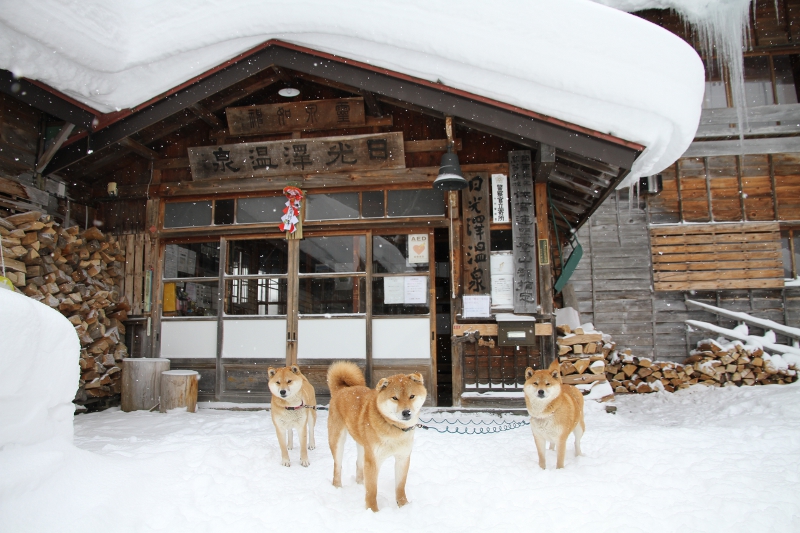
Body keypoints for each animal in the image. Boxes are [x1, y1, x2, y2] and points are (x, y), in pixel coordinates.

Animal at [324, 362, 424, 512]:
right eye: (395, 398)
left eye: (412, 396)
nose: (406, 412)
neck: (394, 427)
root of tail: (341, 389)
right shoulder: (373, 461)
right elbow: (372, 491)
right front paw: (373, 511)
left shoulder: (403, 458)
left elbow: (400, 486)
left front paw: (404, 506)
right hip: (338, 441)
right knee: (337, 467)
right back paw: (337, 487)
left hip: (362, 445)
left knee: (359, 464)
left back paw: (360, 484)